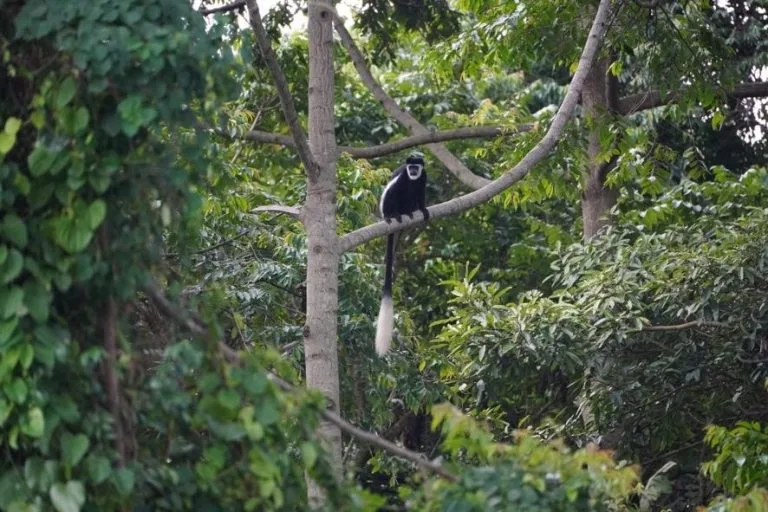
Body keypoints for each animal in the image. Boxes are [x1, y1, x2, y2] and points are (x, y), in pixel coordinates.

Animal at [375, 153, 429, 355]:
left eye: (416, 167)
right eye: (410, 167)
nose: (413, 171)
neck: (413, 177)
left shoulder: (423, 178)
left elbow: (420, 193)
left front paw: (423, 209)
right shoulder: (403, 178)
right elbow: (395, 190)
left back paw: (412, 212)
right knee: (394, 195)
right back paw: (395, 215)